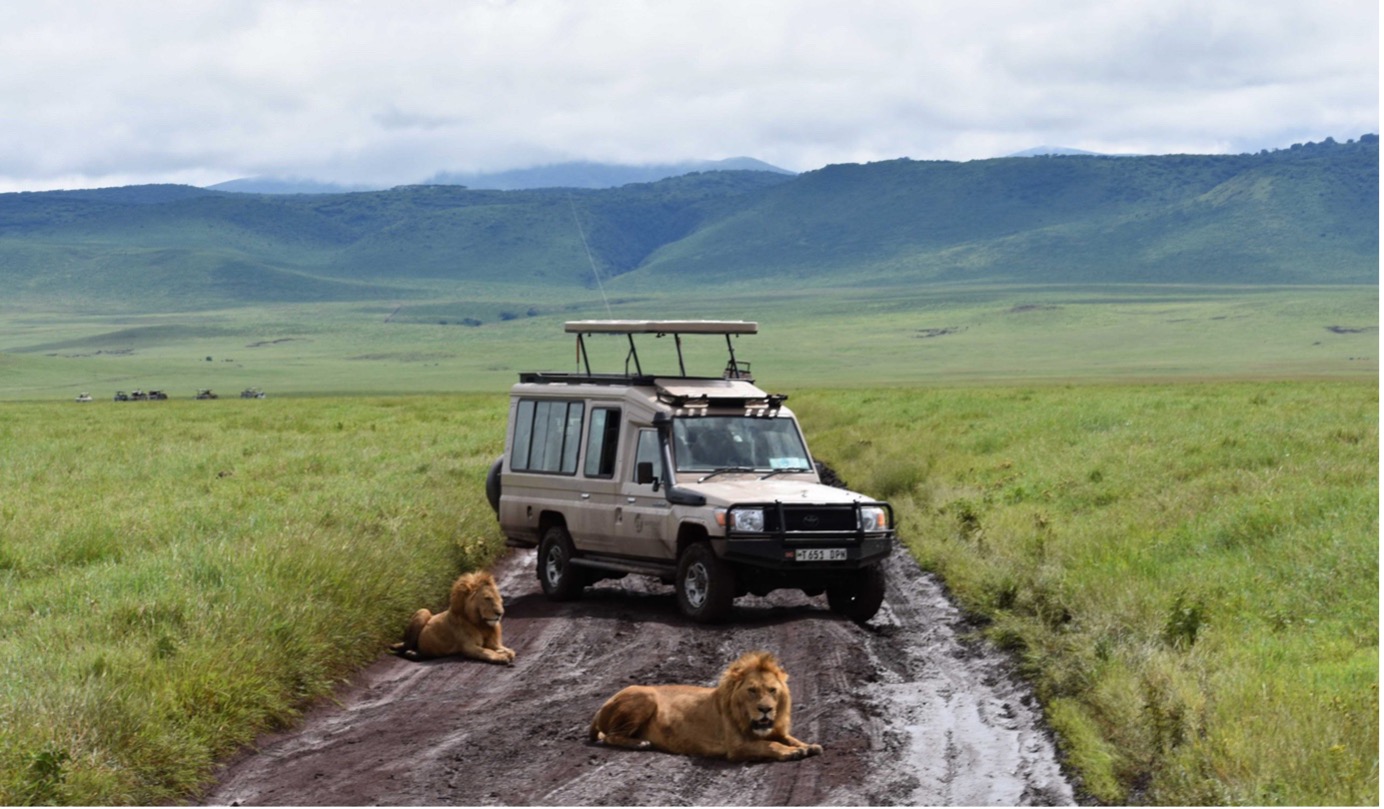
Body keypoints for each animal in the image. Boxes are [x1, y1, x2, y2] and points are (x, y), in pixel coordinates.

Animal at [387, 566, 517, 663]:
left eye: (499, 599)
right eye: (487, 598)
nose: (500, 613)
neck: (481, 624)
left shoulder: (493, 643)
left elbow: (510, 651)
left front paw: (504, 652)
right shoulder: (468, 646)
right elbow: (487, 652)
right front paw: (501, 656)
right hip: (423, 611)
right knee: (406, 646)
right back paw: (411, 653)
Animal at [586, 647, 819, 757]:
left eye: (772, 690)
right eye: (752, 691)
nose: (766, 709)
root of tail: (600, 708)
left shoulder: (776, 730)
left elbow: (789, 738)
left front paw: (809, 746)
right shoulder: (737, 746)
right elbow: (770, 744)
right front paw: (793, 752)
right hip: (645, 694)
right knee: (610, 737)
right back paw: (640, 743)